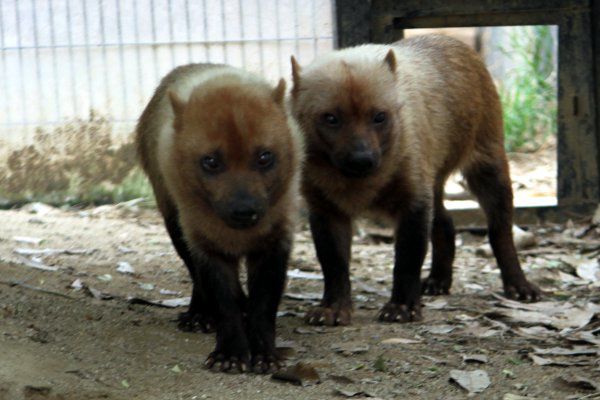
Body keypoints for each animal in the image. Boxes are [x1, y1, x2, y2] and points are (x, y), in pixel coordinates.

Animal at [138, 64, 302, 374]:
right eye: (211, 161)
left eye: (265, 157)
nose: (244, 210)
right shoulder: (204, 242)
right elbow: (223, 300)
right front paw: (230, 354)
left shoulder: (275, 240)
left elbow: (265, 304)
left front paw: (265, 355)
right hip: (175, 226)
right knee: (196, 277)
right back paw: (198, 315)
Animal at [288, 35, 540, 324]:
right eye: (330, 118)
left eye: (379, 116)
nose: (362, 160)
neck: (359, 184)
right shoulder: (325, 209)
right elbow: (333, 264)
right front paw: (332, 309)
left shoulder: (413, 201)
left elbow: (407, 260)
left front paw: (402, 308)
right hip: (435, 182)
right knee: (446, 223)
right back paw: (438, 281)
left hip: (489, 169)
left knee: (500, 231)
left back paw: (519, 286)